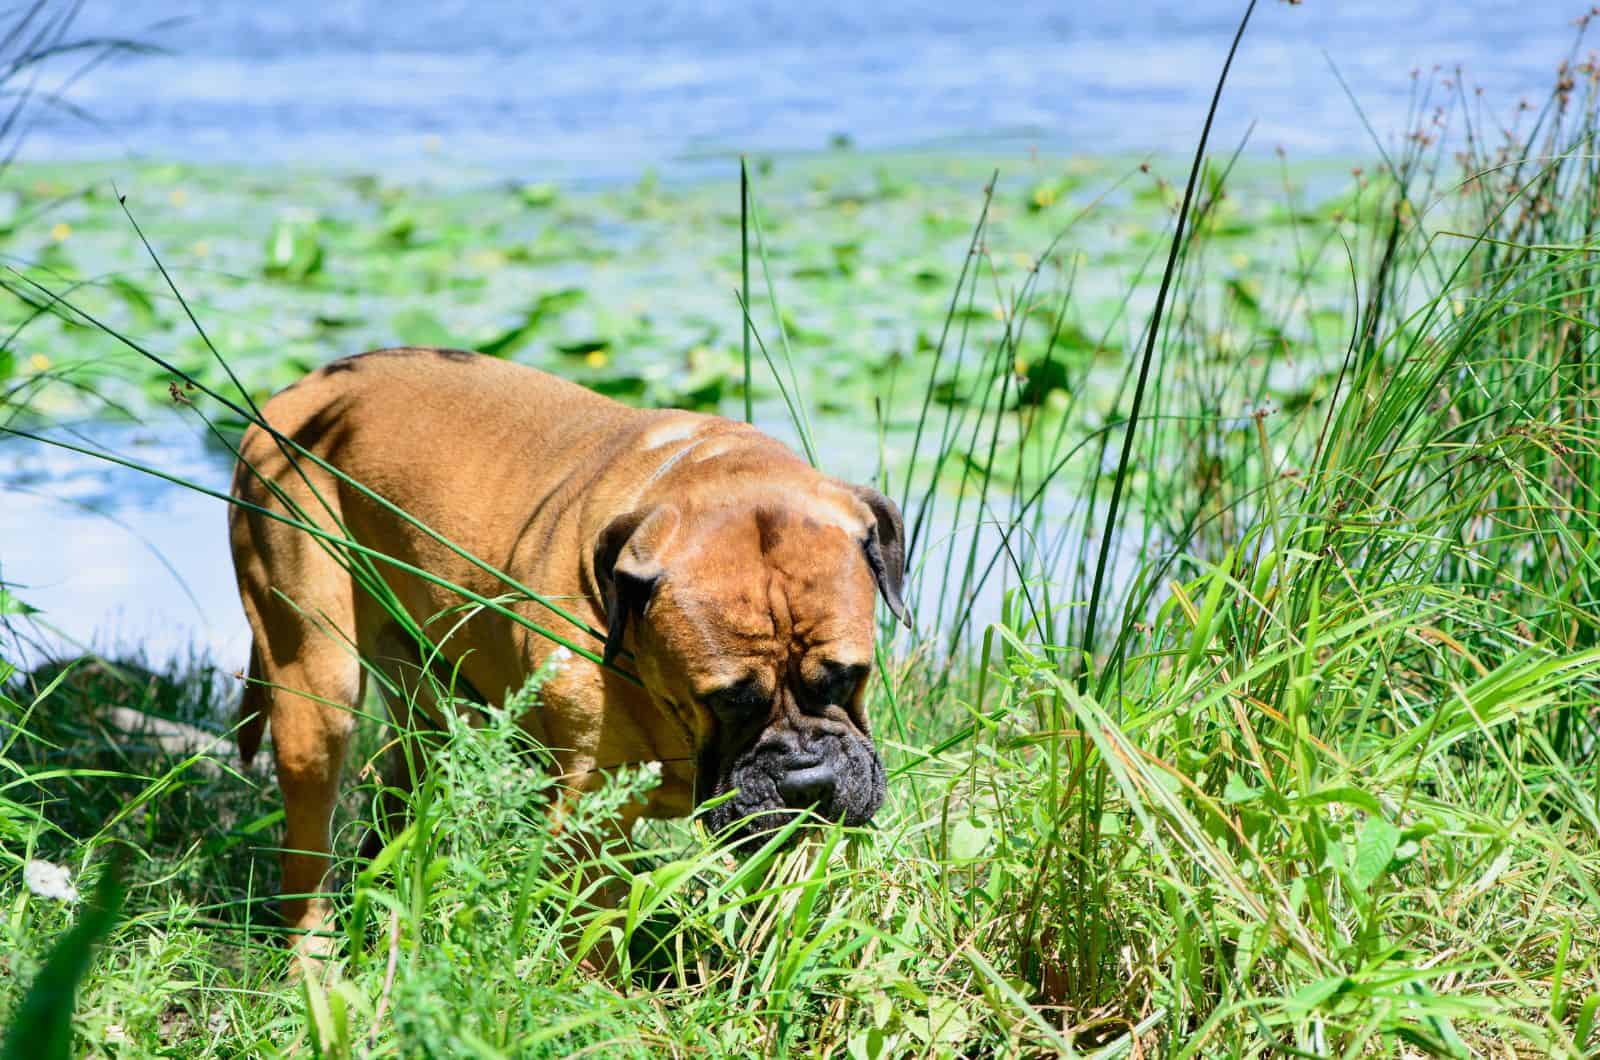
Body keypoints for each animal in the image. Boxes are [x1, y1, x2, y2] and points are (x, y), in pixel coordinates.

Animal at [227, 347, 915, 947]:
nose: (807, 781)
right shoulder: (588, 819)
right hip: (314, 688)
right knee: (307, 853)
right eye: (726, 701)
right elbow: (597, 939)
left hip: (428, 710)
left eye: (846, 677)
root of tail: (302, 391)